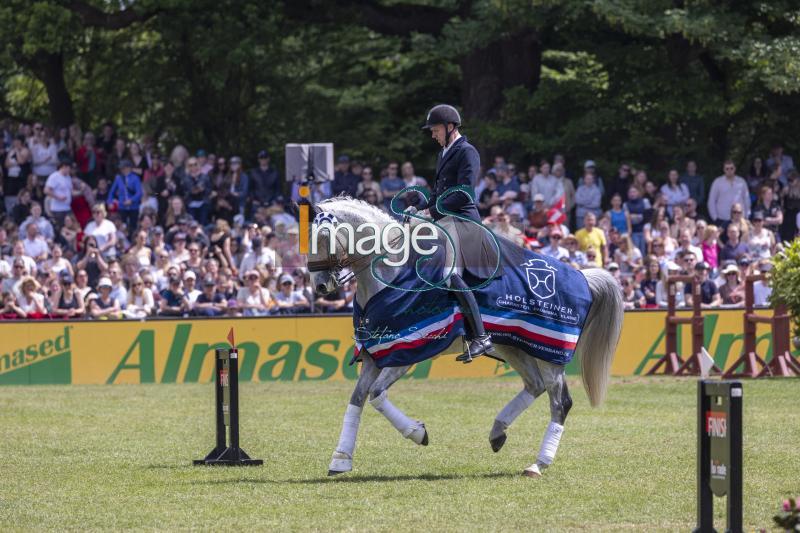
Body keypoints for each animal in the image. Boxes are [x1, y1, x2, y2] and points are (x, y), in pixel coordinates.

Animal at [306, 196, 624, 478]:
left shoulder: (410, 349)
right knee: (534, 386)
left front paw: (418, 433)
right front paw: (341, 459)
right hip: (514, 346)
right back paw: (497, 432)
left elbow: (375, 394)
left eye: (324, 236)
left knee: (560, 402)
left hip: (549, 353)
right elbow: (358, 398)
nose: (320, 286)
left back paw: (538, 464)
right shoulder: (377, 351)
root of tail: (582, 278)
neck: (393, 276)